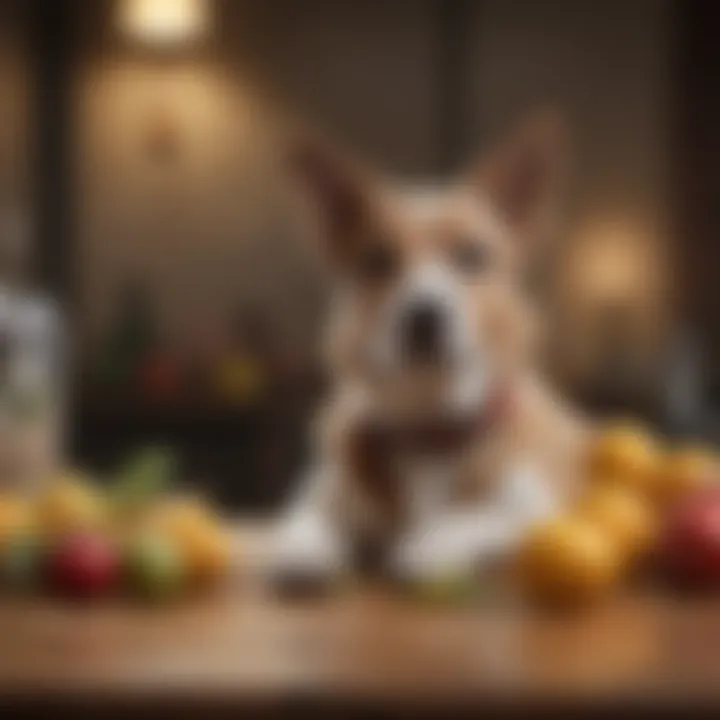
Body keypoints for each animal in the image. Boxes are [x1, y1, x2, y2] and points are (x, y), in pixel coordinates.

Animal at [270, 114, 592, 584]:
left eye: (472, 255)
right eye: (377, 259)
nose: (424, 316)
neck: (428, 426)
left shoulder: (540, 507)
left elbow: (479, 517)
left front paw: (429, 543)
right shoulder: (322, 491)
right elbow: (305, 517)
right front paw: (302, 547)